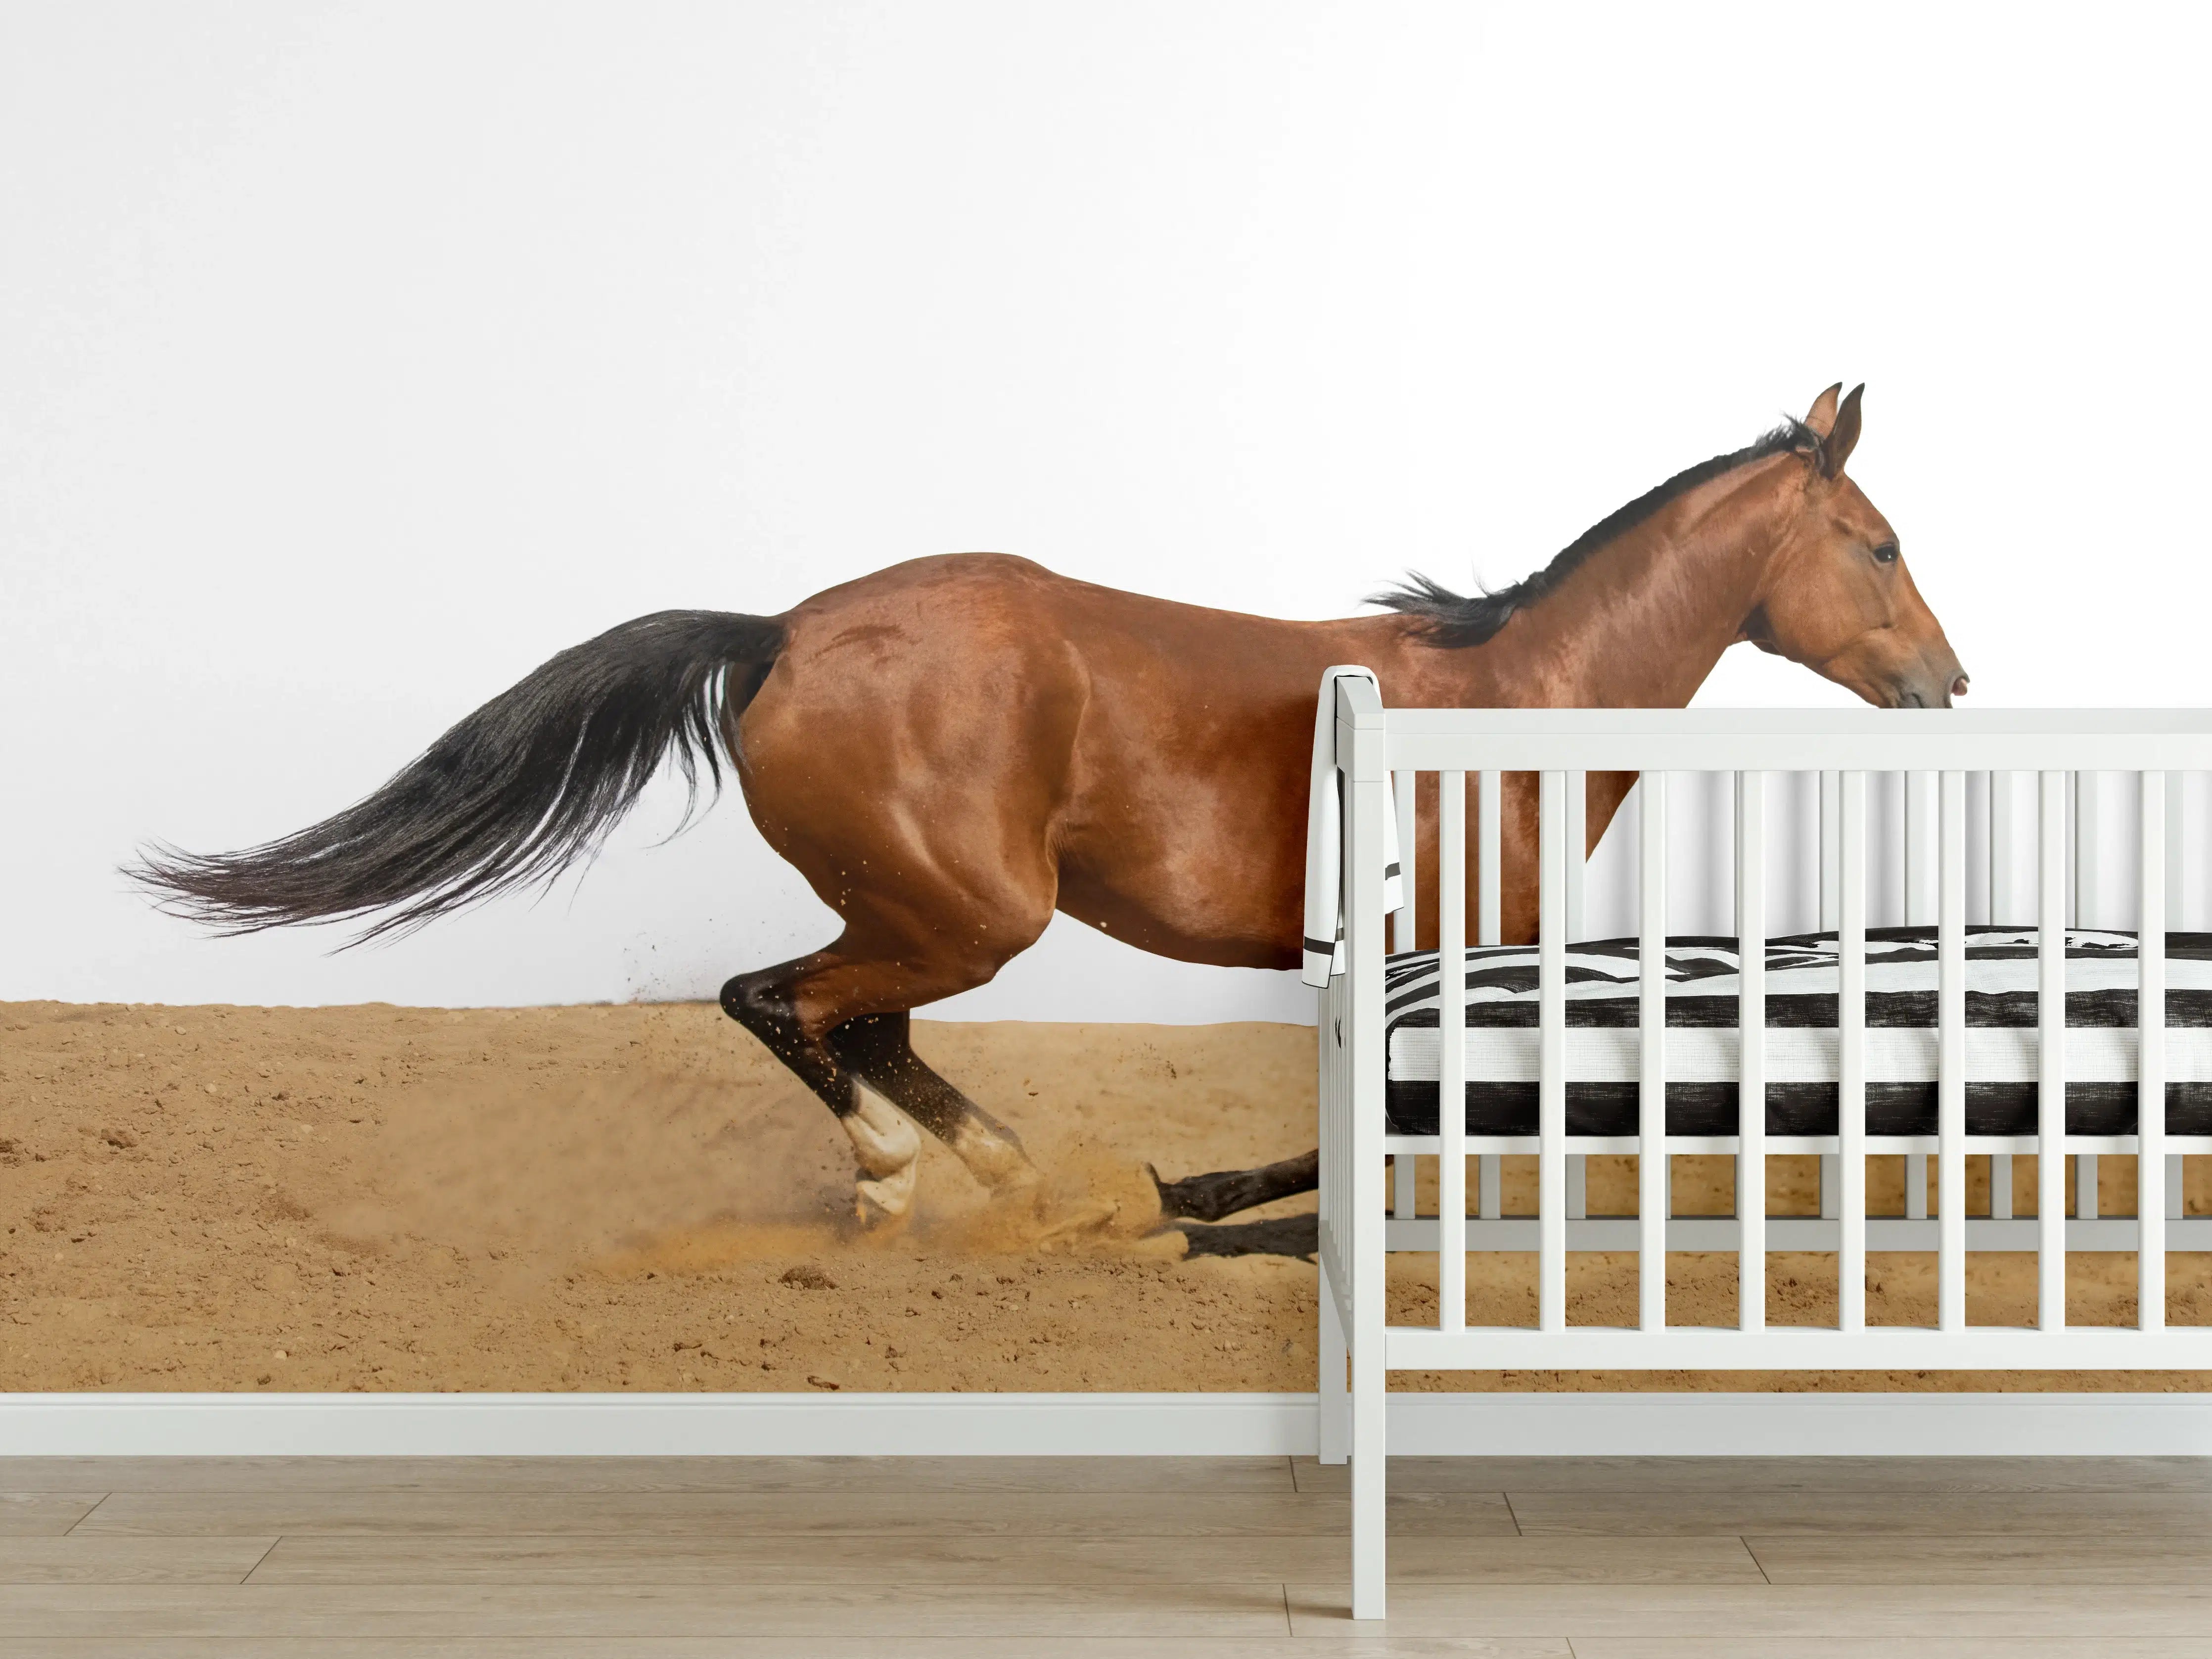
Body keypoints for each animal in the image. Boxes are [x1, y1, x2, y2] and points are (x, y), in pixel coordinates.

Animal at [133, 382, 1965, 1228]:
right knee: (786, 1003)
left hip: (923, 910)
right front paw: (1215, 1207)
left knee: (853, 1020)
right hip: (967, 912)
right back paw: (909, 1178)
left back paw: (1008, 1176)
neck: (1505, 706)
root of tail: (782, 630)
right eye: (1877, 544)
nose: (1945, 682)